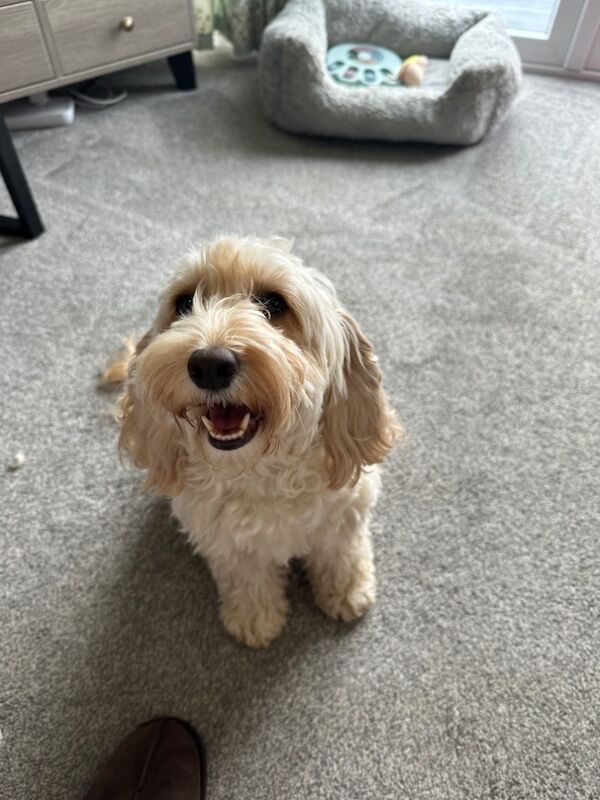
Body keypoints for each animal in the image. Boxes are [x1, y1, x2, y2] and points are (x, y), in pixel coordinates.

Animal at [105, 238, 400, 648]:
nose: (209, 365)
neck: (259, 472)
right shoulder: (226, 543)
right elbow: (246, 579)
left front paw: (347, 590)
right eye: (184, 303)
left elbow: (341, 553)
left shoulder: (344, 514)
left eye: (274, 304)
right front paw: (255, 617)